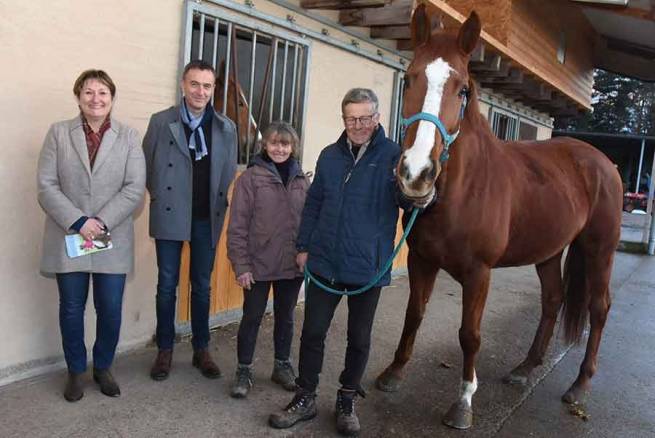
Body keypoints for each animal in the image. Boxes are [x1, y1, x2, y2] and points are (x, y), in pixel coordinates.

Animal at [376, 5, 624, 432]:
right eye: (408, 79)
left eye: (463, 89)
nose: (416, 174)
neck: (464, 189)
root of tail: (602, 162)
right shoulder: (423, 261)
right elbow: (414, 314)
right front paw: (394, 372)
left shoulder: (479, 273)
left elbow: (469, 335)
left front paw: (463, 402)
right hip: (548, 252)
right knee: (552, 299)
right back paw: (525, 368)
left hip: (599, 250)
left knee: (598, 308)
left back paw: (579, 385)